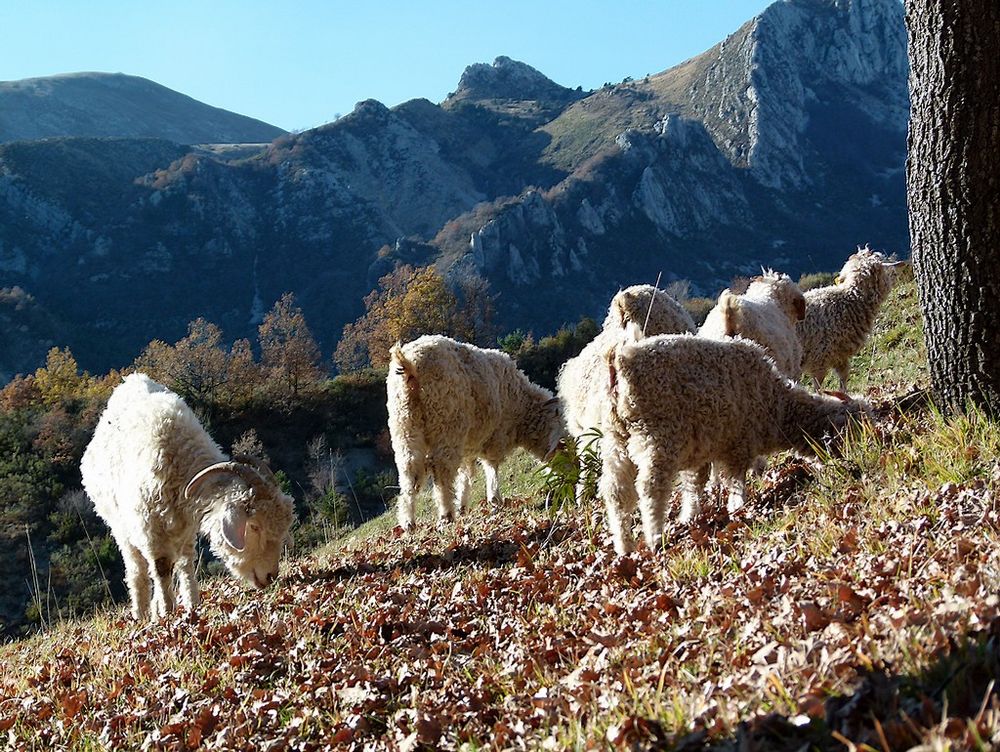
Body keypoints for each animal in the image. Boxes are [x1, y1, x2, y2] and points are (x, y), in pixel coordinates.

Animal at [81, 374, 292, 620]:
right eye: (255, 526)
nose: (270, 576)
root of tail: (131, 379)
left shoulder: (186, 526)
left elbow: (185, 563)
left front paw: (191, 605)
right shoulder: (150, 528)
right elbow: (161, 567)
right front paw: (167, 612)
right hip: (120, 525)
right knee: (137, 568)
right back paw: (141, 613)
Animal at [388, 334, 568, 528]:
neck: (521, 405)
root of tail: (410, 363)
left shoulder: (469, 446)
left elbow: (466, 473)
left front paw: (463, 505)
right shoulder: (496, 436)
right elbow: (491, 466)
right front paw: (494, 498)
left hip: (404, 425)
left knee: (409, 469)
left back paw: (408, 522)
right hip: (447, 424)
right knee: (441, 469)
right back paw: (446, 514)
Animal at [600, 332, 868, 556]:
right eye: (855, 430)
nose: (853, 464)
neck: (777, 405)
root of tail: (620, 361)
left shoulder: (702, 450)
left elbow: (695, 484)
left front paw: (689, 516)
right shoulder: (738, 444)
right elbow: (735, 479)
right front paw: (738, 507)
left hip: (616, 442)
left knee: (616, 494)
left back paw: (624, 546)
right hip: (656, 440)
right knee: (650, 488)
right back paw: (655, 537)